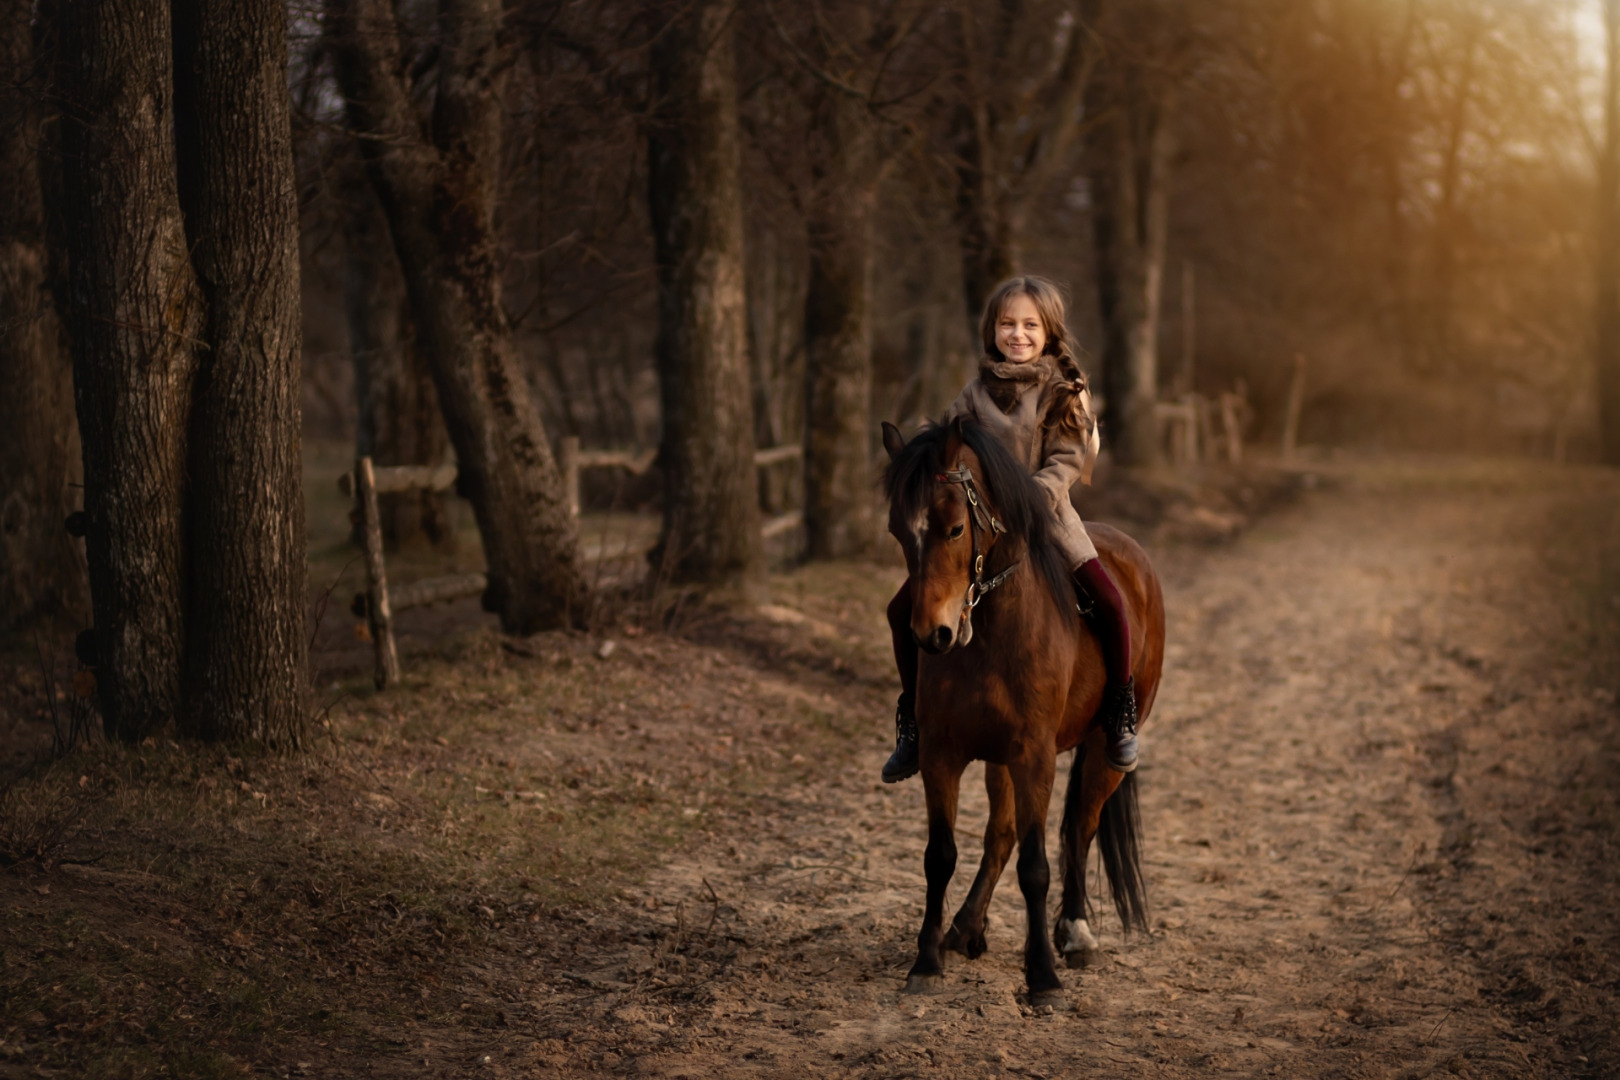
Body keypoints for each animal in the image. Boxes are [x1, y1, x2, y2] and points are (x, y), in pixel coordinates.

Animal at [887, 417, 1166, 1010]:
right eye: (900, 533)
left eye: (953, 529)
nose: (931, 635)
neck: (989, 633)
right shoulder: (943, 757)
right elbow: (939, 855)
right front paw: (926, 962)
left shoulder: (1034, 757)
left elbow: (1036, 867)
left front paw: (1042, 976)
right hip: (997, 760)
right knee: (1002, 833)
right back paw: (966, 927)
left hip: (1098, 752)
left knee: (1080, 827)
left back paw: (1076, 932)